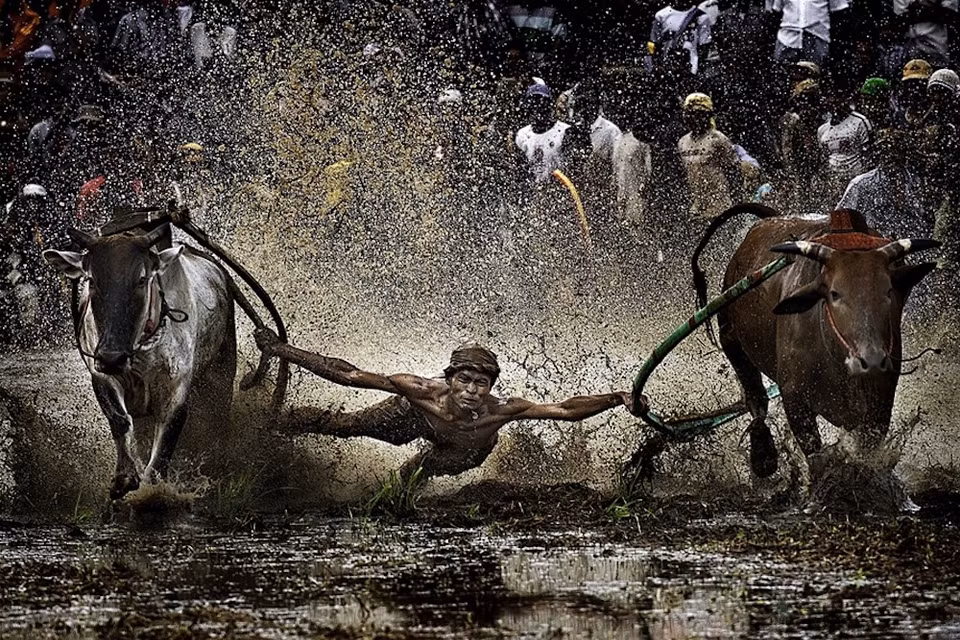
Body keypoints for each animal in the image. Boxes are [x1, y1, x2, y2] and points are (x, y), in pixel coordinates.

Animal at [43, 225, 236, 499]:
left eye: (142, 279)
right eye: (91, 280)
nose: (112, 356)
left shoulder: (176, 386)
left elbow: (168, 434)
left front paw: (153, 487)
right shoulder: (102, 376)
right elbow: (120, 421)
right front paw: (124, 478)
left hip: (222, 372)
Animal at [692, 204, 939, 483]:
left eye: (888, 291)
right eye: (834, 293)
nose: (872, 360)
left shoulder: (880, 404)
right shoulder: (795, 399)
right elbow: (817, 459)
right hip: (731, 339)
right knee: (756, 400)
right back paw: (763, 456)